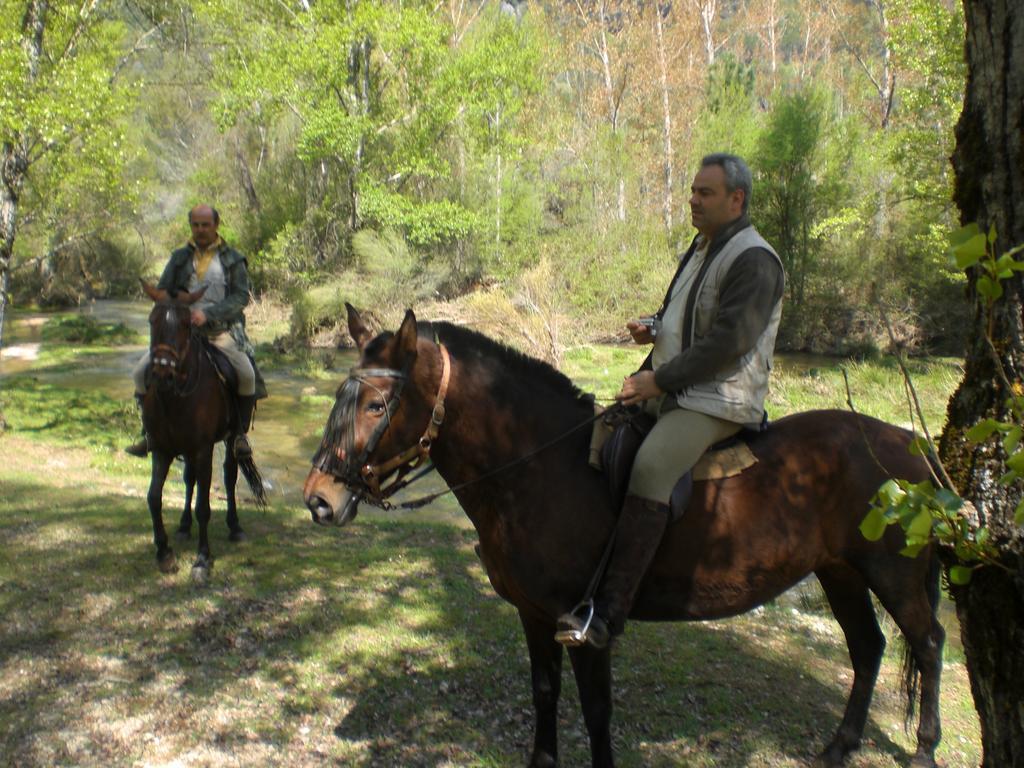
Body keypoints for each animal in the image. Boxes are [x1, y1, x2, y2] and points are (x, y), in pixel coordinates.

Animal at [141, 282, 266, 581]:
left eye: (187, 324)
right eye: (152, 321)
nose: (162, 375)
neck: (174, 397)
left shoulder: (203, 449)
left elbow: (203, 506)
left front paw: (202, 560)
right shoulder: (161, 448)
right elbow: (154, 497)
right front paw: (164, 553)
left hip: (231, 438)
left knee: (230, 477)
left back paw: (235, 527)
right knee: (189, 480)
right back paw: (184, 527)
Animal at [303, 309, 942, 768]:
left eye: (378, 404)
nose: (318, 500)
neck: (540, 468)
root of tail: (909, 447)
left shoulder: (585, 627)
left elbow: (596, 711)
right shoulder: (535, 616)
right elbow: (544, 693)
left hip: (892, 574)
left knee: (928, 642)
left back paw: (924, 749)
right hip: (840, 572)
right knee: (868, 648)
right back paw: (840, 746)